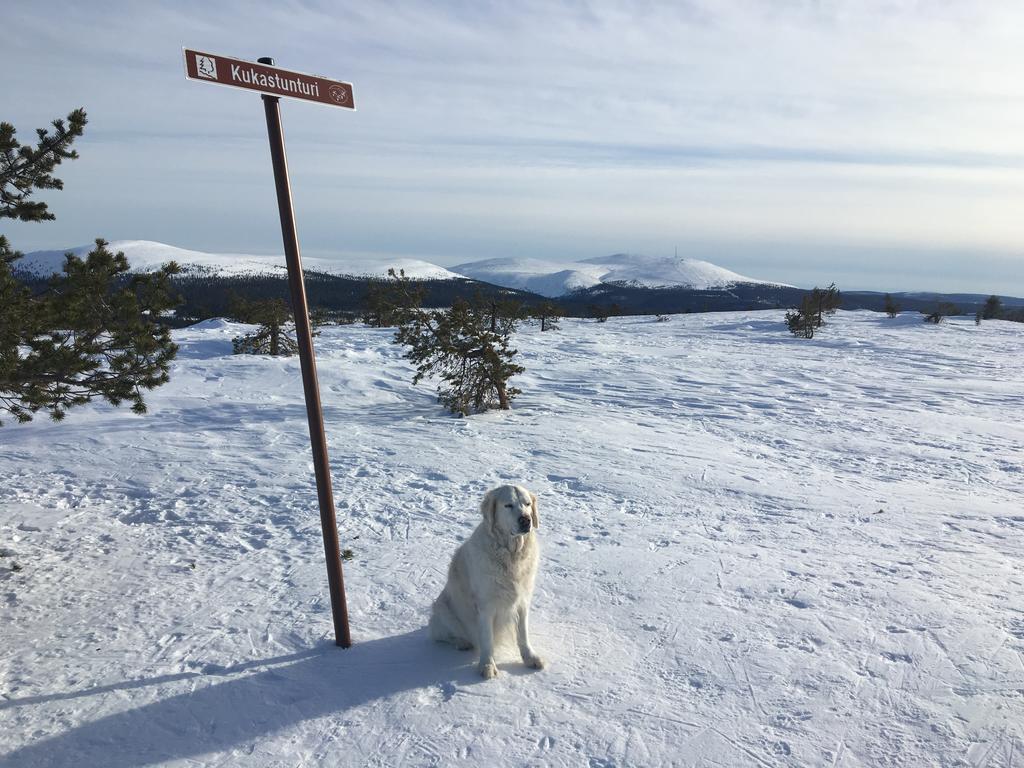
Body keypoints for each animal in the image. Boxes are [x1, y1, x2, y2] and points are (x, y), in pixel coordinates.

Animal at [430, 487, 548, 679]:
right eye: (508, 505)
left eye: (527, 504)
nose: (526, 520)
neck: (511, 555)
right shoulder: (485, 605)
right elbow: (486, 639)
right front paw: (487, 665)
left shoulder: (522, 601)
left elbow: (523, 634)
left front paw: (530, 658)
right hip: (442, 608)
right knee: (442, 635)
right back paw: (461, 642)